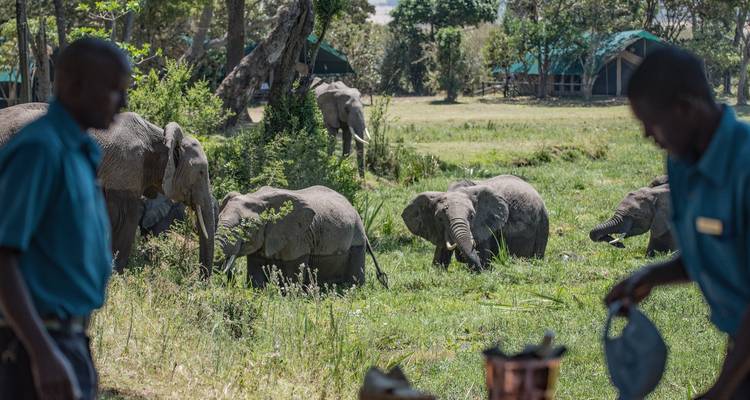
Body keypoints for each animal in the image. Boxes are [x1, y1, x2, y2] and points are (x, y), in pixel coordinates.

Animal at [0, 103, 215, 276]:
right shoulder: (125, 170)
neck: (159, 136)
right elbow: (127, 217)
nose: (201, 280)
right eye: (201, 172)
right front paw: (116, 276)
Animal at [216, 185, 388, 288]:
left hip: (357, 236)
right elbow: (256, 268)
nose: (229, 279)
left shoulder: (299, 236)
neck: (257, 197)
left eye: (246, 227)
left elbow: (295, 268)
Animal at [402, 175, 549, 271]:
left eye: (472, 216)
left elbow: (483, 254)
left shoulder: (485, 226)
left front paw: (482, 269)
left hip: (543, 223)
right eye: (440, 218)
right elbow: (440, 254)